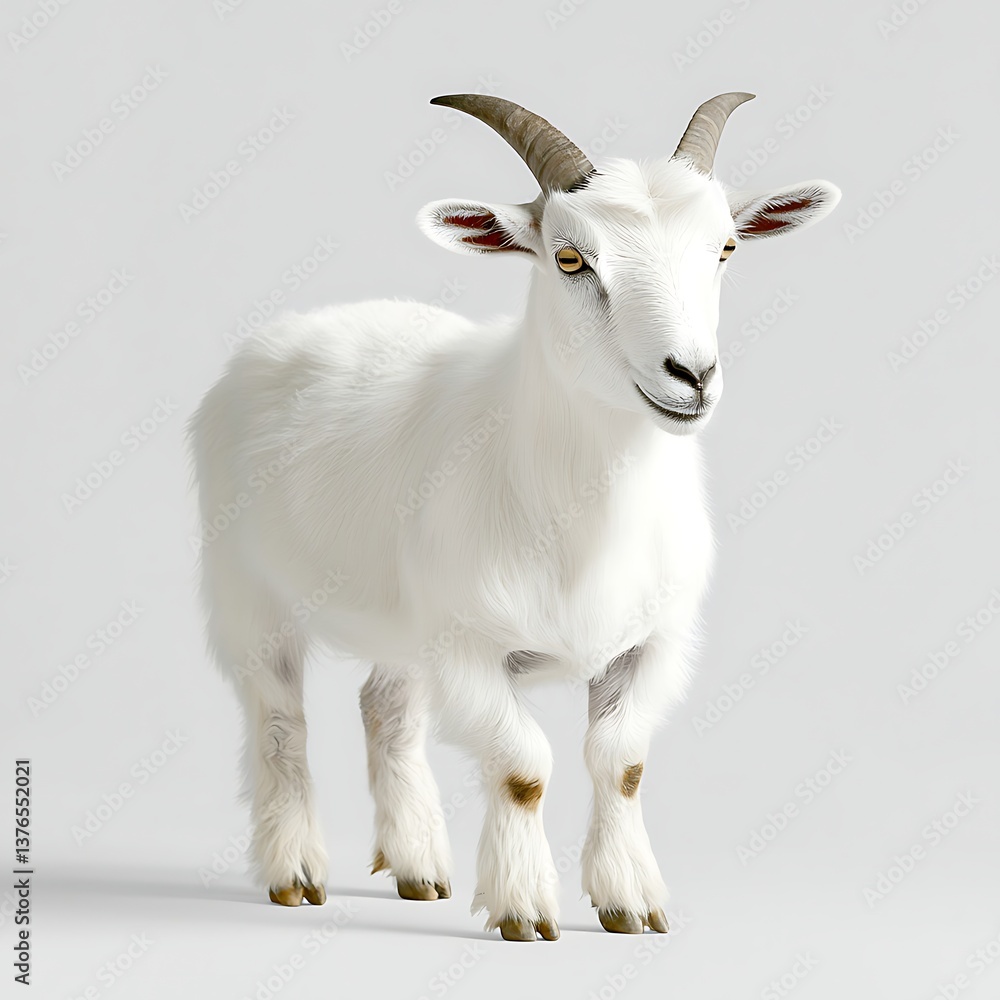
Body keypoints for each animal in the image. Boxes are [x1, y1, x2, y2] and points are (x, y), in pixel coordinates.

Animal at [189, 92, 840, 940]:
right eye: (570, 259)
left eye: (726, 247)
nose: (692, 375)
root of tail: (285, 335)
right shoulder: (471, 646)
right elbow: (523, 768)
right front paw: (526, 907)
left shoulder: (654, 641)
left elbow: (622, 762)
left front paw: (631, 900)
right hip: (248, 592)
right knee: (277, 720)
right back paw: (296, 872)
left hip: (407, 620)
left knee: (386, 709)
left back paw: (418, 865)